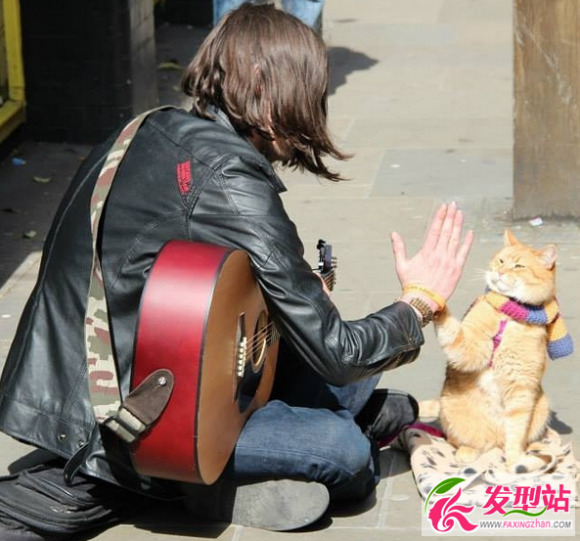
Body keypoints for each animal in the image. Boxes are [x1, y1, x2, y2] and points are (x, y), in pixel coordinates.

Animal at [420, 228, 572, 472]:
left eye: (518, 266)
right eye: (501, 261)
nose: (499, 272)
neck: (509, 315)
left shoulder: (521, 388)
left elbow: (516, 432)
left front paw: (515, 461)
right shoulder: (470, 349)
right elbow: (454, 332)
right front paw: (436, 297)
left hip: (541, 406)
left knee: (510, 440)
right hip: (452, 412)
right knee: (464, 440)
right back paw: (467, 451)